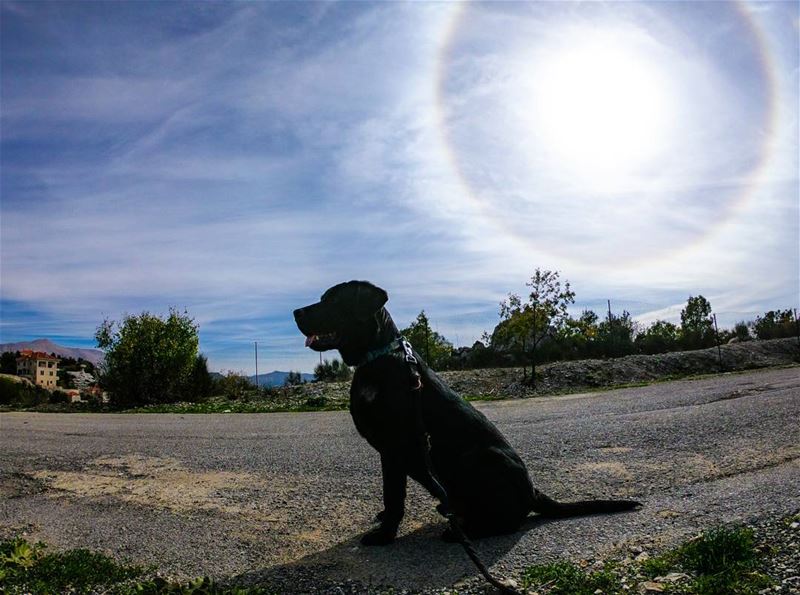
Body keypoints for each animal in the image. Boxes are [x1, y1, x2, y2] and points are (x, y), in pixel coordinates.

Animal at [294, 282, 636, 548]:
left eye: (331, 300)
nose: (295, 312)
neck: (375, 359)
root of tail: (533, 492)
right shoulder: (389, 453)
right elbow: (390, 493)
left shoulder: (395, 446)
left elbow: (394, 496)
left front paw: (385, 535)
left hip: (481, 457)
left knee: (509, 521)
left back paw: (464, 530)